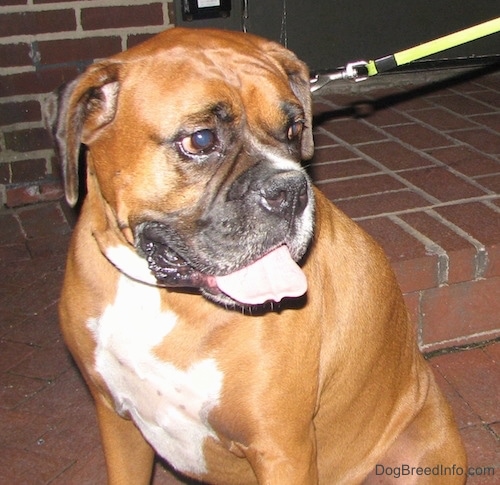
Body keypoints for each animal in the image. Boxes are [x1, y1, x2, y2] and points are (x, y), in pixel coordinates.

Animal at [45, 27, 466, 484]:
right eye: (200, 139)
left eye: (294, 129)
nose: (291, 190)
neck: (158, 297)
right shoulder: (116, 421)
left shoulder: (282, 450)